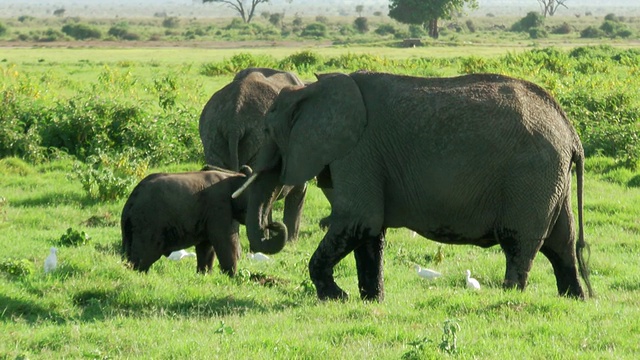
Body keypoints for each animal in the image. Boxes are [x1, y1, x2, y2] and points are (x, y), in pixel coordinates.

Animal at [122, 166, 255, 276]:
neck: (234, 177)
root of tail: (131, 201)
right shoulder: (219, 208)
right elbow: (225, 241)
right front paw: (232, 277)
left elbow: (206, 246)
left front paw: (204, 275)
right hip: (148, 223)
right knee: (143, 257)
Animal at [235, 70, 596, 300]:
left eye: (268, 130)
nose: (273, 226)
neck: (311, 89)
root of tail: (571, 132)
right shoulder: (363, 157)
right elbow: (368, 230)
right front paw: (371, 301)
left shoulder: (358, 152)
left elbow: (357, 220)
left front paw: (337, 297)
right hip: (551, 178)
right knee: (562, 243)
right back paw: (574, 299)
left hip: (532, 175)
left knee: (521, 244)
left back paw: (508, 298)